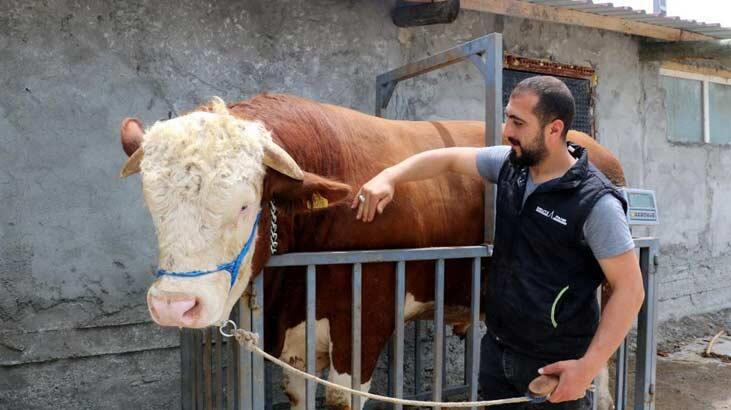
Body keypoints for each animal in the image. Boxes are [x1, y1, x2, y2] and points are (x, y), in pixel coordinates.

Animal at [120, 94, 624, 408]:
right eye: (150, 202)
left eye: (246, 204)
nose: (174, 306)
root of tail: (591, 147)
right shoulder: (296, 334)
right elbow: (299, 392)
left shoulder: (363, 321)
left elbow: (342, 397)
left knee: (598, 380)